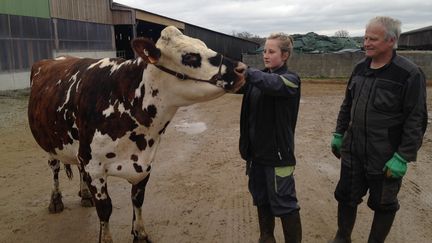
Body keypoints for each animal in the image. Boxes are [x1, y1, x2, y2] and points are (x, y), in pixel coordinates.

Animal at [28, 25, 246, 242]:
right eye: (190, 56)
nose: (241, 69)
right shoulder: (93, 166)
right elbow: (105, 209)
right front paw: (106, 238)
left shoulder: (144, 165)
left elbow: (138, 200)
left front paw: (140, 233)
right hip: (49, 142)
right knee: (54, 167)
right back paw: (56, 200)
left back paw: (85, 195)